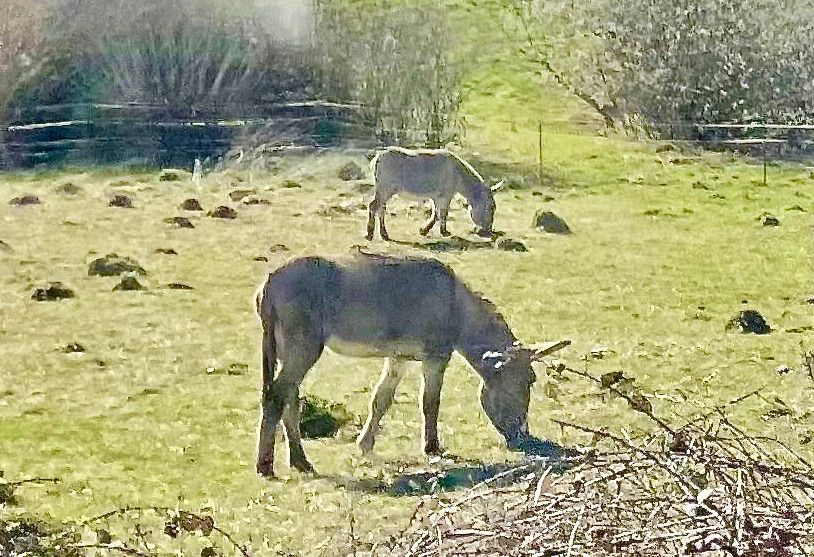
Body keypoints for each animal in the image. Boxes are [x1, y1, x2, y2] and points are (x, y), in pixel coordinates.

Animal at [254, 251, 569, 477]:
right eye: (527, 382)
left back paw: (299, 461)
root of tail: (269, 283)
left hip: (287, 349)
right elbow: (430, 402)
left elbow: (381, 400)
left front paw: (365, 445)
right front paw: (432, 448)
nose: (523, 437)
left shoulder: (399, 357)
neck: (457, 307)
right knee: (277, 395)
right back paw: (266, 465)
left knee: (290, 397)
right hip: (304, 345)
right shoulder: (436, 356)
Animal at [366, 147, 503, 241]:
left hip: (383, 191)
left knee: (381, 209)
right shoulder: (446, 196)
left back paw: (384, 235)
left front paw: (424, 230)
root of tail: (378, 157)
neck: (457, 173)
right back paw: (370, 234)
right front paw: (444, 232)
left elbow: (435, 214)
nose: (488, 231)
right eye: (490, 207)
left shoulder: (436, 197)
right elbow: (442, 214)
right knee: (373, 207)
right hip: (386, 190)